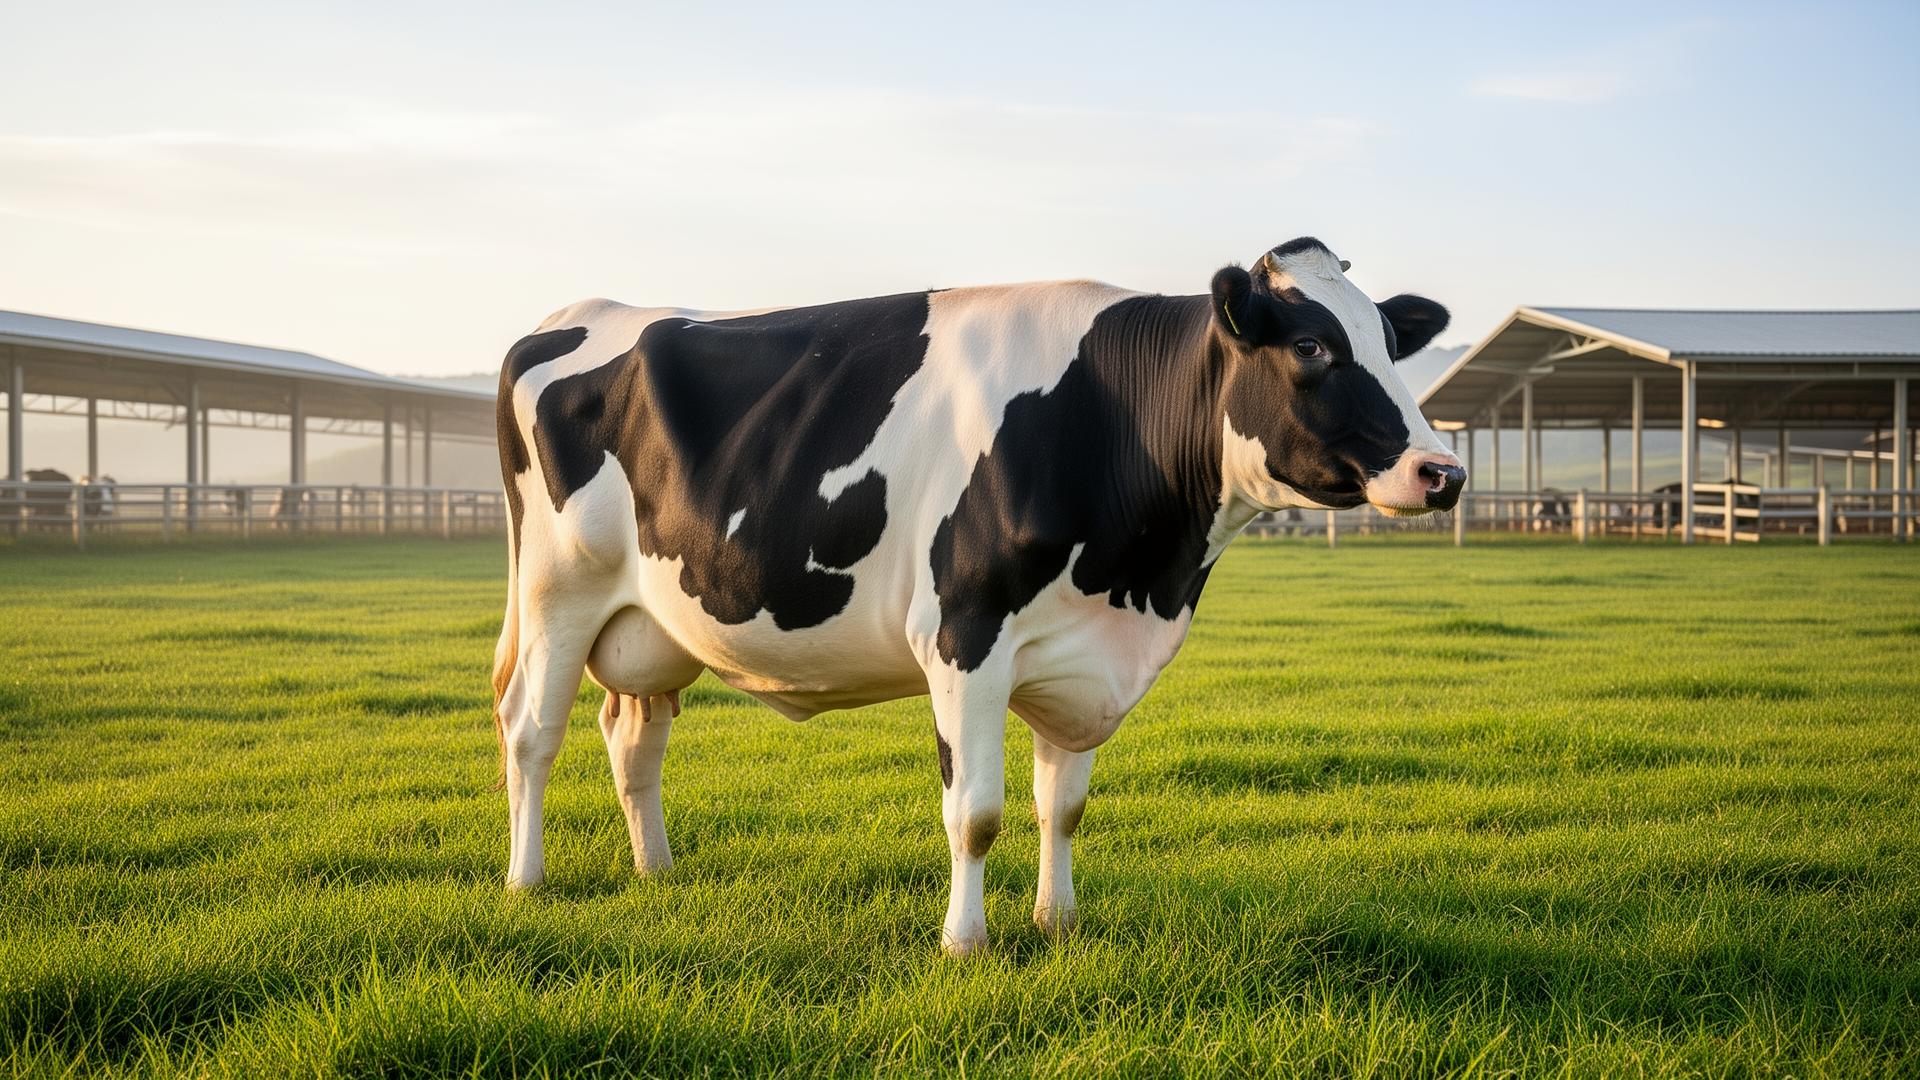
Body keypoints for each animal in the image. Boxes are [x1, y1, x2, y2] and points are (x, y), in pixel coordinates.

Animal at [491, 237, 1464, 955]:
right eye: (1311, 347)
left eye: (1389, 341)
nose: (1444, 471)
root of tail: (570, 316)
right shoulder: (965, 637)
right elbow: (977, 814)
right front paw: (966, 942)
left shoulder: (1076, 651)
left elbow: (1062, 805)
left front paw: (1057, 923)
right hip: (556, 591)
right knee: (531, 730)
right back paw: (526, 881)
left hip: (651, 620)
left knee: (633, 734)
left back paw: (655, 870)